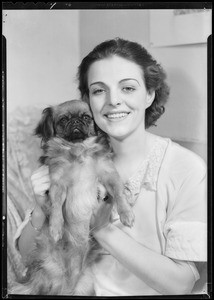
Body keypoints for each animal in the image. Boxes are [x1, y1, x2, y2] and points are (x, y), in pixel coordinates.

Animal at [11, 99, 134, 296]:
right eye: (63, 120)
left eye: (86, 117)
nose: (75, 121)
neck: (79, 149)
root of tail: (66, 286)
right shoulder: (58, 184)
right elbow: (55, 208)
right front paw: (55, 228)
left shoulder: (108, 174)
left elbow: (119, 192)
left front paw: (126, 213)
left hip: (85, 287)